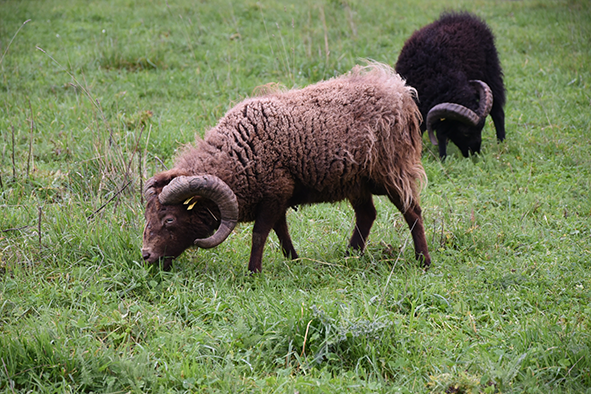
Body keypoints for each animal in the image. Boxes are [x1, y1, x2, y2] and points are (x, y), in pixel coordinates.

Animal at [142, 63, 432, 274]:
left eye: (170, 219)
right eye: (148, 216)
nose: (146, 255)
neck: (237, 156)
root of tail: (398, 89)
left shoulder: (274, 192)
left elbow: (260, 234)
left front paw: (253, 273)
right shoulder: (278, 195)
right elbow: (281, 231)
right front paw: (294, 260)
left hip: (392, 171)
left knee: (412, 212)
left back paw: (423, 261)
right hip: (354, 181)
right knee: (367, 214)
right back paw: (351, 256)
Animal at [396, 11, 506, 158]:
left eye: (481, 128)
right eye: (465, 132)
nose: (475, 154)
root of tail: (464, 16)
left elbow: (440, 134)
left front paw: (442, 157)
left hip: (491, 74)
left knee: (498, 111)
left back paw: (502, 142)